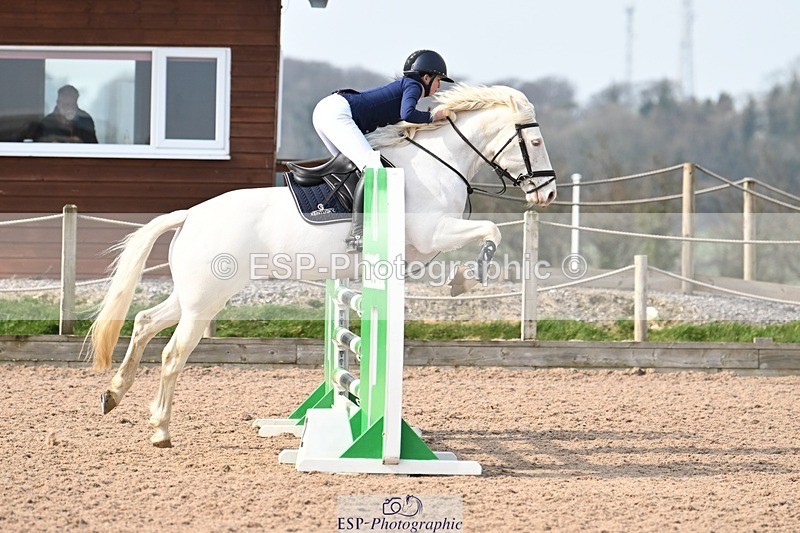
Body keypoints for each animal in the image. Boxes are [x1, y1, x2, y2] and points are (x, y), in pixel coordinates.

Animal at [89, 84, 558, 447]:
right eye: (535, 143)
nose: (549, 194)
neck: (436, 164)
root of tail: (190, 214)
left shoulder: (424, 247)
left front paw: (462, 281)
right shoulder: (432, 236)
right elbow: (488, 232)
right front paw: (466, 280)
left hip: (195, 296)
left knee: (146, 322)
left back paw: (114, 394)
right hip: (207, 299)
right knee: (172, 353)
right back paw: (161, 430)